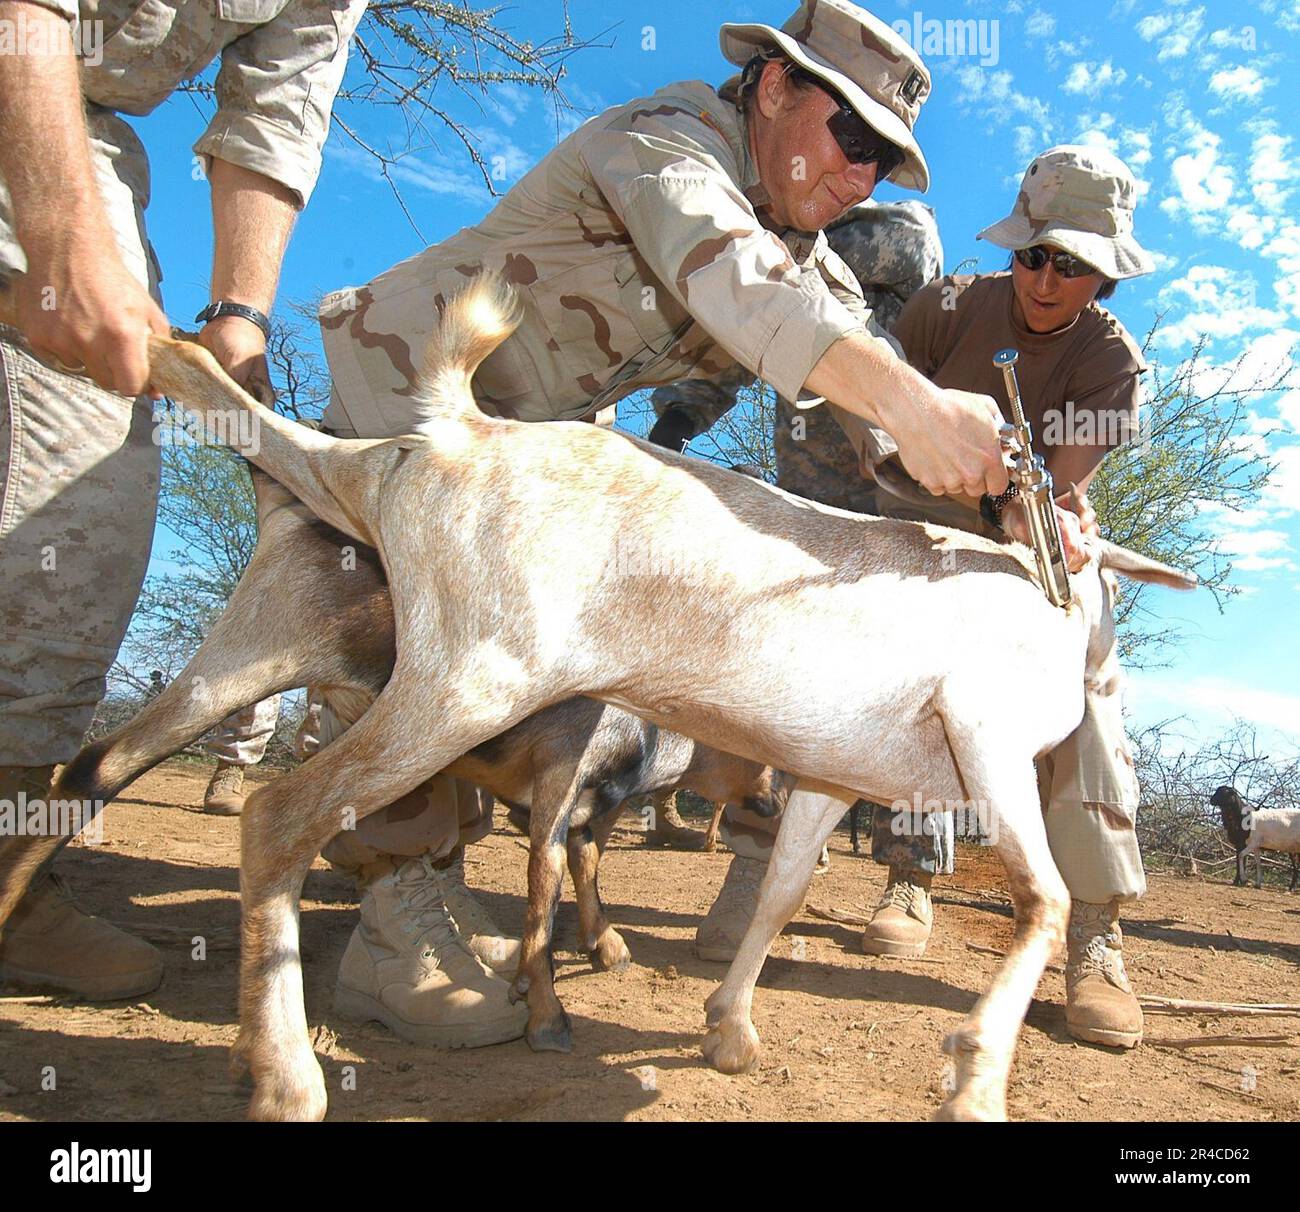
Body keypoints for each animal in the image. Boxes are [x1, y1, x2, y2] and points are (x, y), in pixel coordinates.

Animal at [41, 465, 792, 1052]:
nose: (775, 802)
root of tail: (294, 511)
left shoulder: (593, 805)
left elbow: (583, 867)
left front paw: (599, 949)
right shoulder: (558, 780)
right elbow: (543, 888)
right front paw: (547, 1014)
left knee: (94, 766)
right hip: (269, 670)